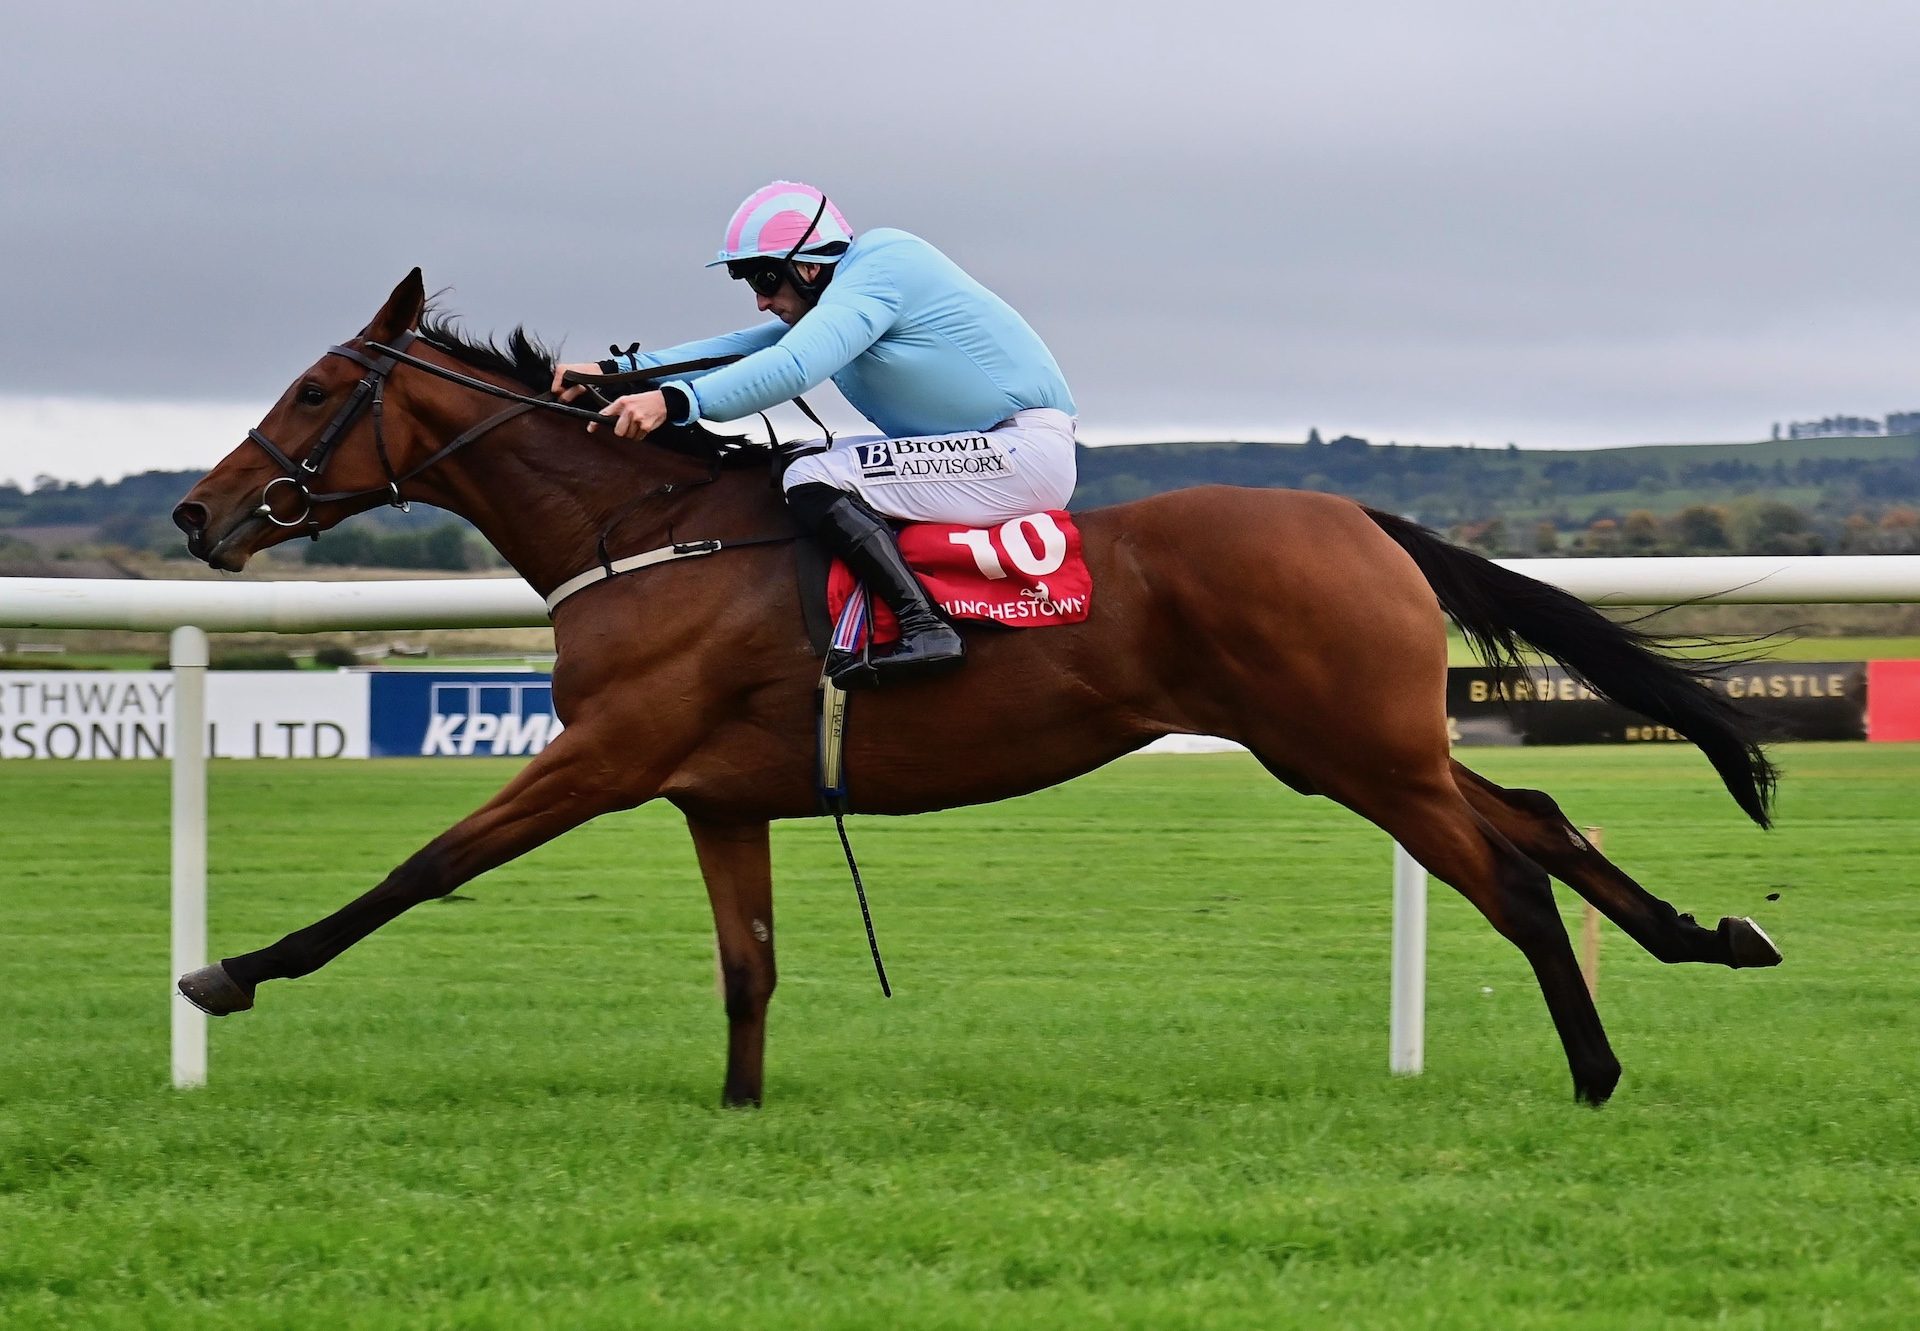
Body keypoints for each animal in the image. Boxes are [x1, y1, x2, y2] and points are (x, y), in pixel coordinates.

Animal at [172, 266, 1774, 1098]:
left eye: (319, 390)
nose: (198, 513)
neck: (650, 534)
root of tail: (1361, 519)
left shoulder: (608, 754)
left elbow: (421, 864)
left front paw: (229, 970)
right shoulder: (715, 795)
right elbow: (748, 965)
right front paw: (741, 1112)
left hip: (1358, 750)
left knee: (1509, 878)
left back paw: (1597, 1068)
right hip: (1349, 745)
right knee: (1542, 816)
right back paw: (1710, 935)